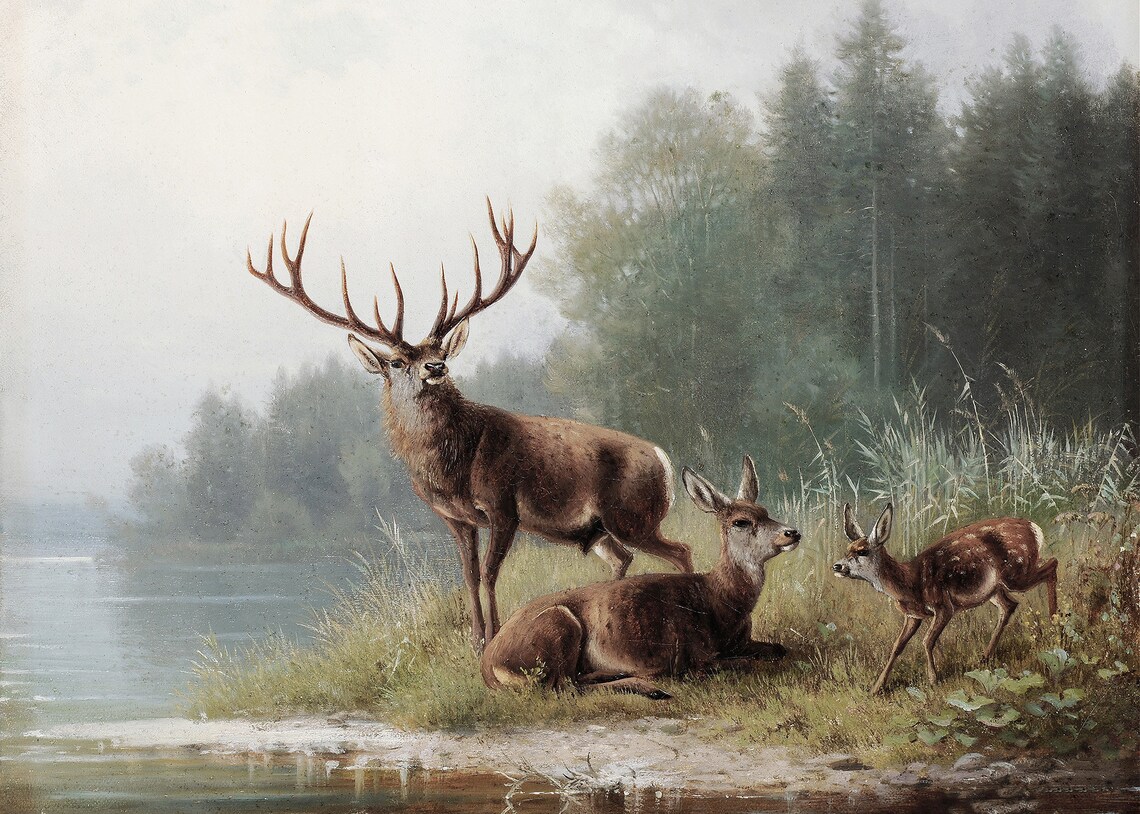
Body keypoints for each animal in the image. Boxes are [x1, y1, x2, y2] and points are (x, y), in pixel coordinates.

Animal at [246, 199, 694, 650]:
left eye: (441, 350)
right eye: (397, 362)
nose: (435, 366)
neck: (451, 467)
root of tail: (665, 461)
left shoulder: (502, 505)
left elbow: (492, 574)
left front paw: (493, 637)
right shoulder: (455, 518)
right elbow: (470, 574)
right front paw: (477, 637)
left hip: (631, 514)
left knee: (682, 550)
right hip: (601, 530)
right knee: (627, 558)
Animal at [481, 455, 801, 698]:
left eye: (765, 511)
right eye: (741, 522)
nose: (792, 532)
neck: (719, 600)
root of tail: (488, 662)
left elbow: (778, 649)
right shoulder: (697, 657)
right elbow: (747, 663)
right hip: (559, 625)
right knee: (563, 686)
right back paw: (649, 685)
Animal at [833, 503, 1059, 695]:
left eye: (862, 551)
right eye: (847, 549)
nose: (837, 566)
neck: (910, 582)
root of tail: (1035, 527)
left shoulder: (943, 605)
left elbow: (927, 641)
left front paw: (933, 679)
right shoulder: (913, 615)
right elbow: (897, 646)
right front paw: (876, 688)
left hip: (1016, 572)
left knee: (1052, 564)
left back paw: (1056, 624)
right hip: (994, 589)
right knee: (1010, 605)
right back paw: (985, 657)